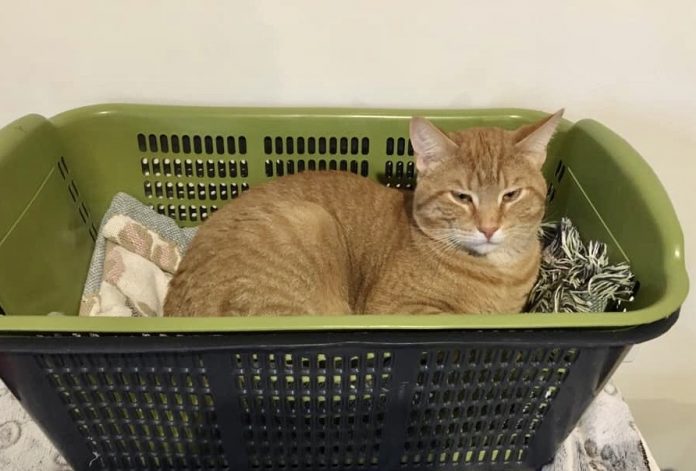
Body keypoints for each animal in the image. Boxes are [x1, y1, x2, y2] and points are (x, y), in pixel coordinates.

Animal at [163, 110, 563, 317]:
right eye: (462, 197)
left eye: (511, 195)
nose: (489, 228)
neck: (500, 272)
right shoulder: (397, 309)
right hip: (309, 225)